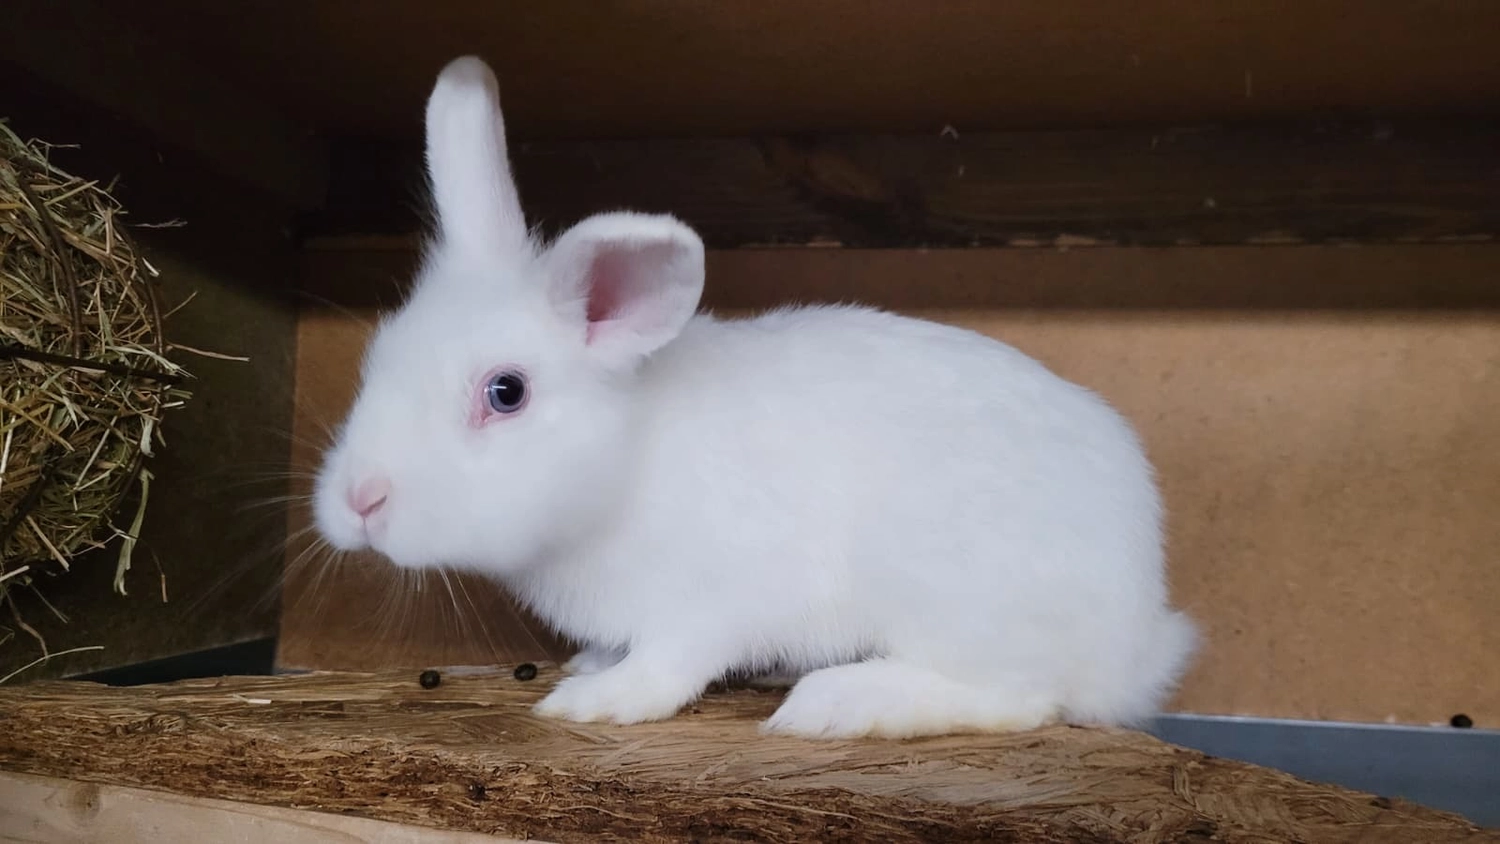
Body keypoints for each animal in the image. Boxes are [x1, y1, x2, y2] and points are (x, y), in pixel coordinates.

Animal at [312, 55, 1198, 740]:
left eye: (506, 392)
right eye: (378, 358)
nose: (361, 501)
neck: (625, 462)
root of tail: (1139, 636)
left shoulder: (710, 601)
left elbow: (671, 664)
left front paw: (597, 699)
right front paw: (590, 663)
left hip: (960, 601)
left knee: (1022, 700)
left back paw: (838, 703)